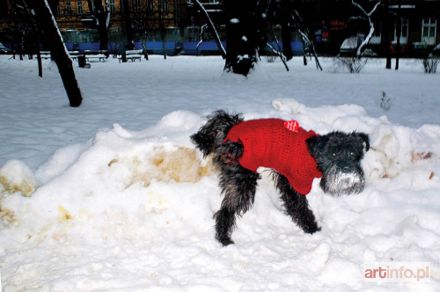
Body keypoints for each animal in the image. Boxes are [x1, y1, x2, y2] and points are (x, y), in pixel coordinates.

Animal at [191, 110, 370, 245]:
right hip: (243, 182)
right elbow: (300, 208)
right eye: (333, 154)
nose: (347, 170)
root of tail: (229, 130)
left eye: (353, 153)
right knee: (225, 211)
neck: (312, 154)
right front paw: (313, 230)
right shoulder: (293, 184)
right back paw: (224, 240)